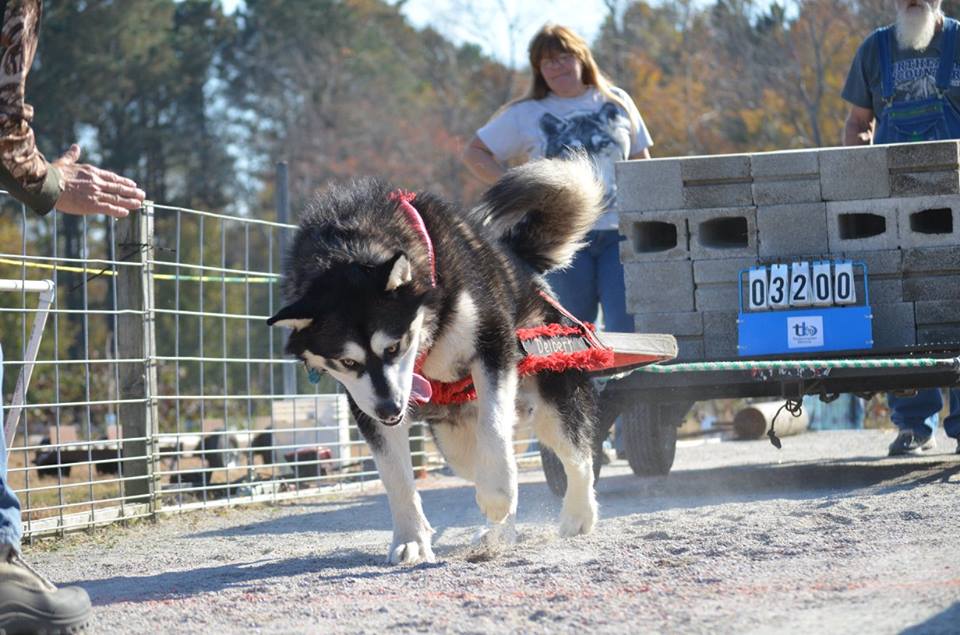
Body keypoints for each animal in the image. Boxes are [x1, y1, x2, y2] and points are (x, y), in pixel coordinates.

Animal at [266, 157, 604, 564]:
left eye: (394, 347)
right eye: (347, 363)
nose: (391, 409)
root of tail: (517, 261)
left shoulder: (493, 347)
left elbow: (494, 427)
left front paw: (497, 495)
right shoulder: (363, 403)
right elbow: (396, 478)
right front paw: (411, 538)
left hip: (551, 392)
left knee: (575, 454)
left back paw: (578, 514)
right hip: (453, 440)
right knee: (480, 459)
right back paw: (499, 532)